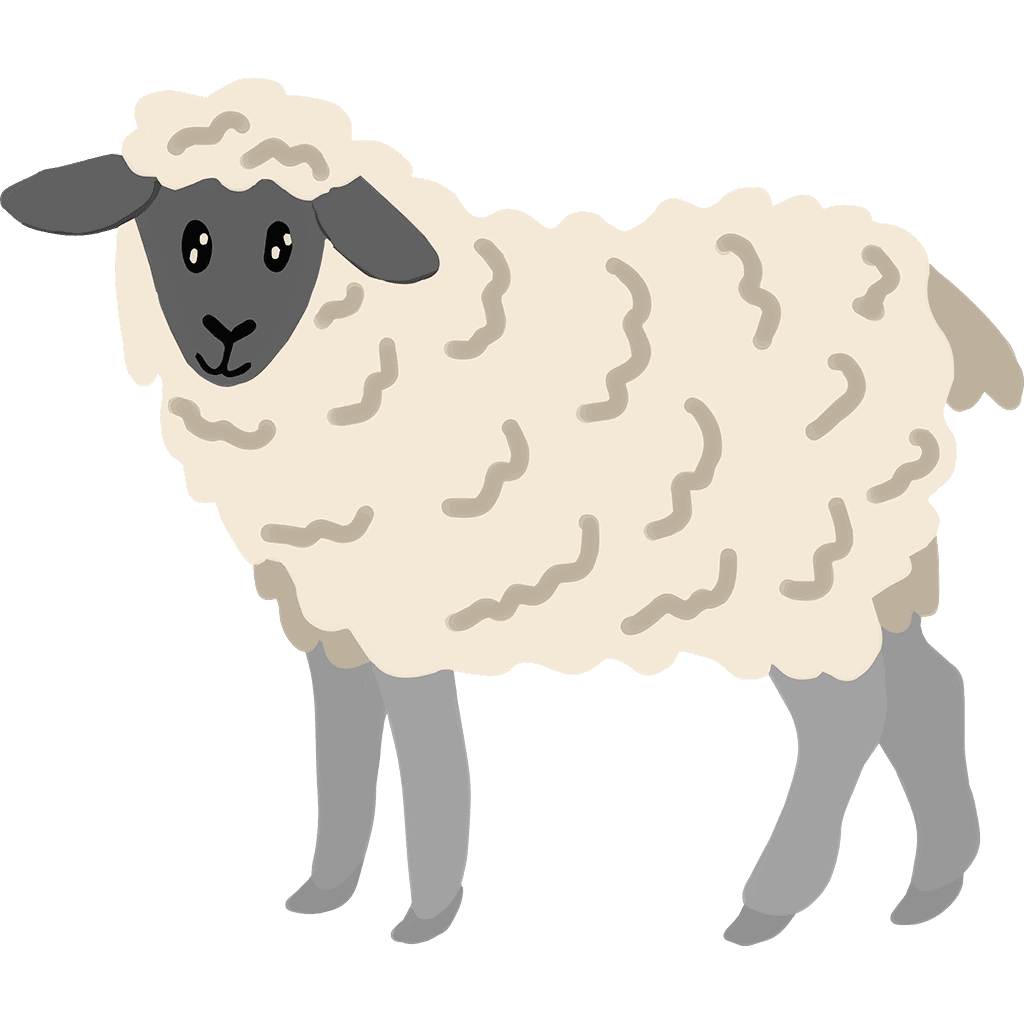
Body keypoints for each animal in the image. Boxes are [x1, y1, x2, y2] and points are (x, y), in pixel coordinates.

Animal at [2, 78, 1020, 946]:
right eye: (188, 238)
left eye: (288, 241)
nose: (226, 338)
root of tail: (930, 290)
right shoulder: (335, 609)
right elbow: (343, 743)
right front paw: (326, 893)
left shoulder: (404, 606)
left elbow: (426, 754)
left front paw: (424, 915)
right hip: (868, 562)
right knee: (929, 694)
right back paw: (932, 890)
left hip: (805, 567)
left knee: (847, 720)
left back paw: (771, 904)